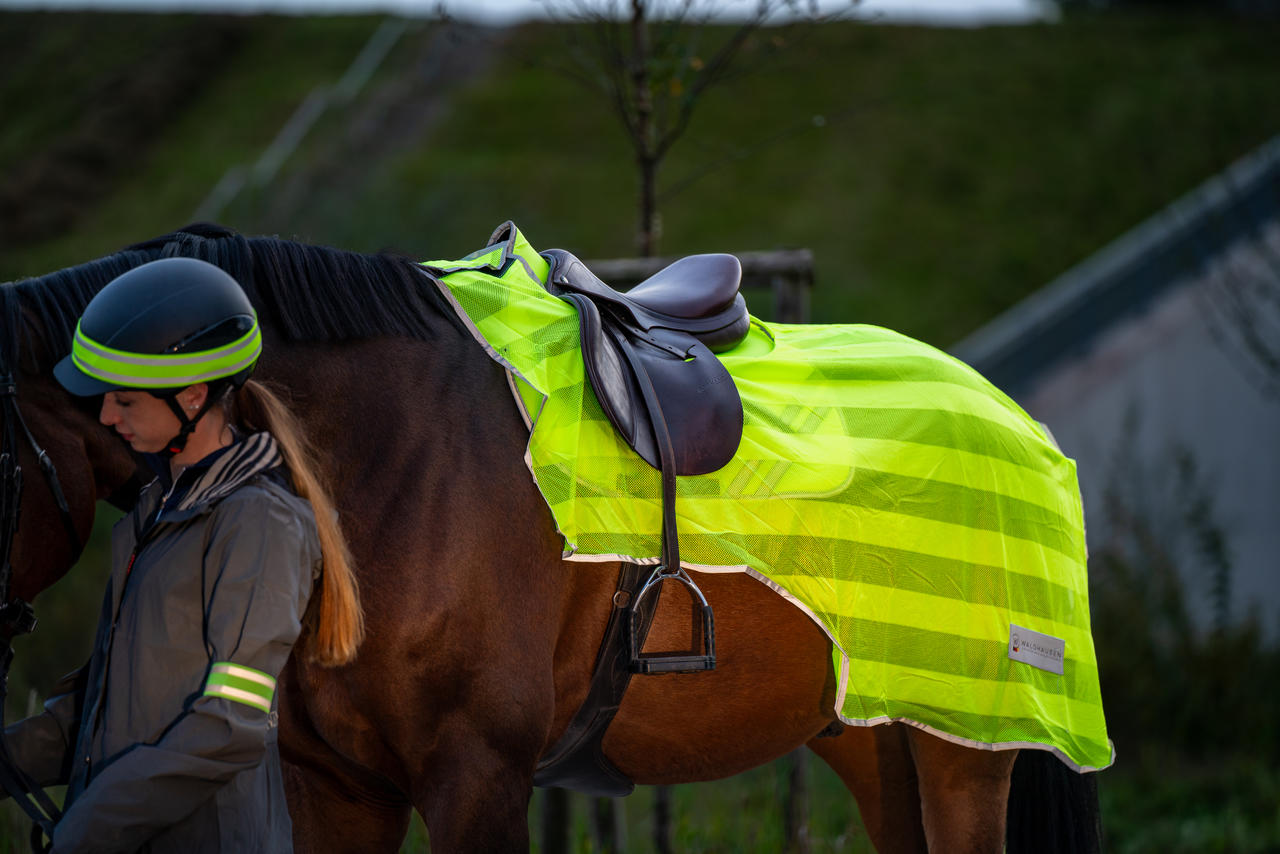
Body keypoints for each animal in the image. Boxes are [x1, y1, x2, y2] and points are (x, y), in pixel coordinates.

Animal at [0, 224, 1105, 850]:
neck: (382, 462)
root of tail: (1012, 413)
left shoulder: (477, 778)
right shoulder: (335, 787)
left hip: (967, 748)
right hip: (875, 736)